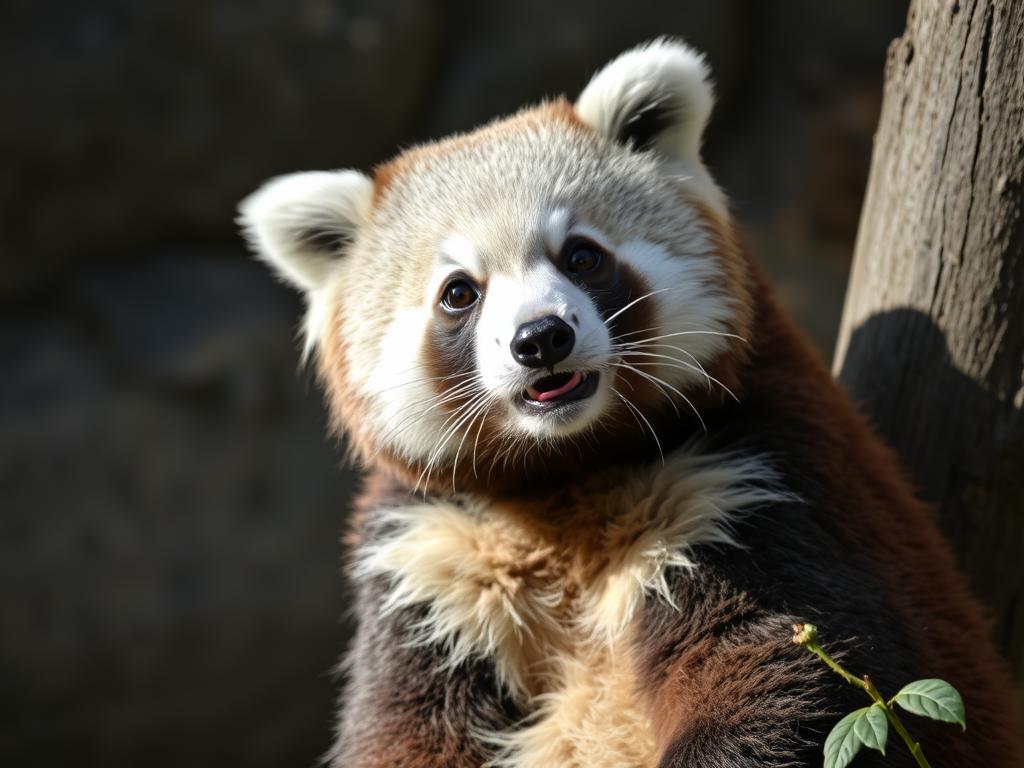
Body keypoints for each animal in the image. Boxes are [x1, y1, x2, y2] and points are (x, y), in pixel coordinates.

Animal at [237, 40, 1015, 768]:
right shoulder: (430, 554)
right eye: (460, 292)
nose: (541, 339)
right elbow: (404, 725)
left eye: (580, 255)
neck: (566, 471)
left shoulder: (744, 475)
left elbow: (792, 671)